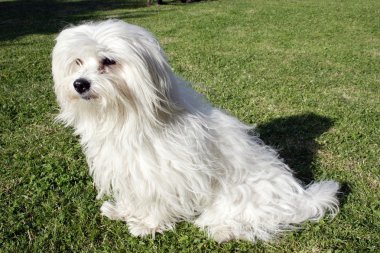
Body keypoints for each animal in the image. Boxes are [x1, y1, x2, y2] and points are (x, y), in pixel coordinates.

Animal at [52, 20, 340, 243]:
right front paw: (123, 210)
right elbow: (135, 195)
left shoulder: (165, 173)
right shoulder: (131, 170)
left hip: (239, 195)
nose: (80, 84)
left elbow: (157, 200)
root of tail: (298, 198)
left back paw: (224, 230)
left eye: (109, 61)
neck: (125, 117)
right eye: (77, 61)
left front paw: (148, 224)